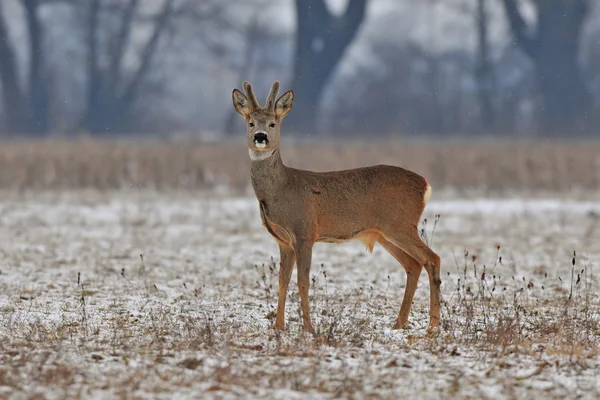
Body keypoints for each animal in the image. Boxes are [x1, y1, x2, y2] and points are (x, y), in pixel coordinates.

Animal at [231, 79, 440, 332]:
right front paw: (278, 326)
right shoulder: (284, 241)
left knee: (432, 258)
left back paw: (433, 324)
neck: (281, 189)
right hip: (385, 233)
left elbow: (302, 281)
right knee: (414, 265)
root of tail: (425, 184)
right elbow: (282, 281)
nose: (260, 137)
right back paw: (399, 323)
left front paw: (308, 328)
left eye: (272, 123)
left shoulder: (305, 232)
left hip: (400, 224)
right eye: (250, 122)